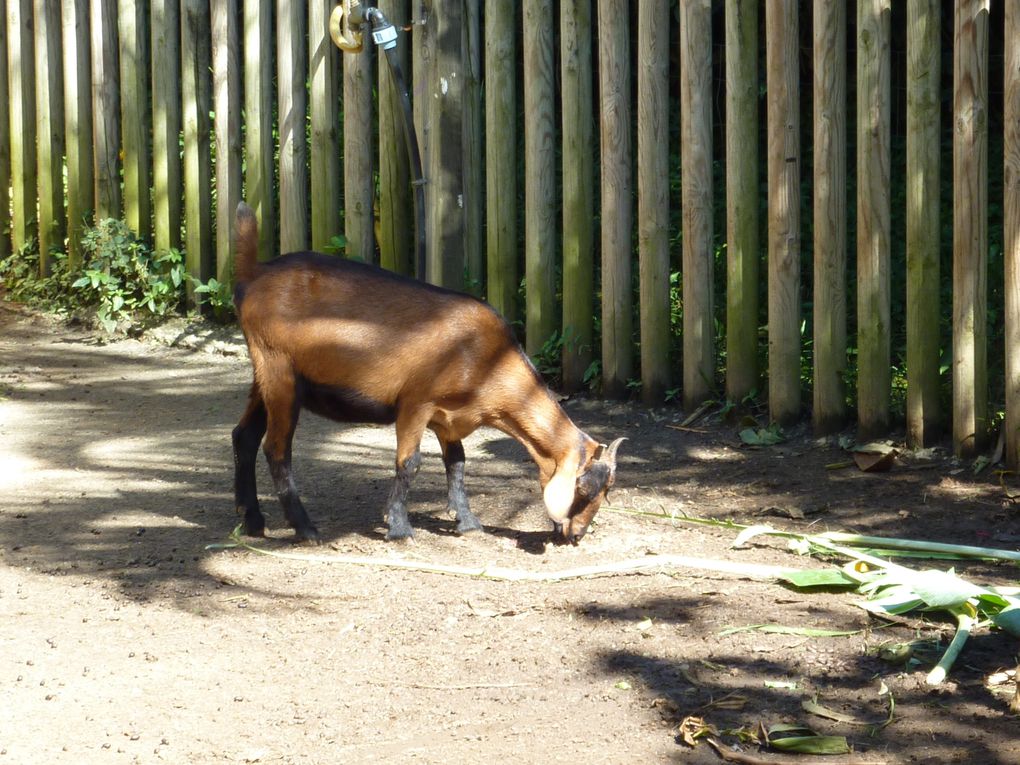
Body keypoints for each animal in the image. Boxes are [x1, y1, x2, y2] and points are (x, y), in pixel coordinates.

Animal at [232, 204, 624, 546]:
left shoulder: (449, 419)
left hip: (264, 377)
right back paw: (305, 528)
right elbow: (410, 463)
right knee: (276, 448)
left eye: (607, 491)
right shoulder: (415, 404)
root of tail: (253, 273)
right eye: (584, 488)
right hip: (279, 371)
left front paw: (468, 521)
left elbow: (458, 463)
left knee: (244, 436)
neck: (487, 358)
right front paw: (399, 528)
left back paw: (252, 519)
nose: (575, 535)